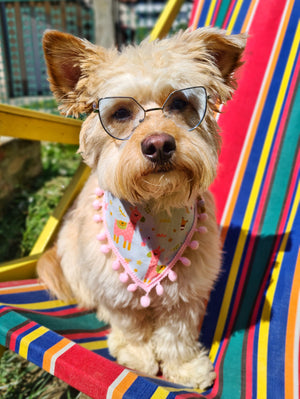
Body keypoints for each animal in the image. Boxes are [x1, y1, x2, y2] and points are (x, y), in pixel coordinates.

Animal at [37, 28, 246, 390]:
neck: (154, 211)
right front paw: (137, 357)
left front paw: (184, 368)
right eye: (121, 113)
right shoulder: (114, 290)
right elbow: (131, 326)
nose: (159, 144)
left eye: (180, 103)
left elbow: (177, 334)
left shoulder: (186, 291)